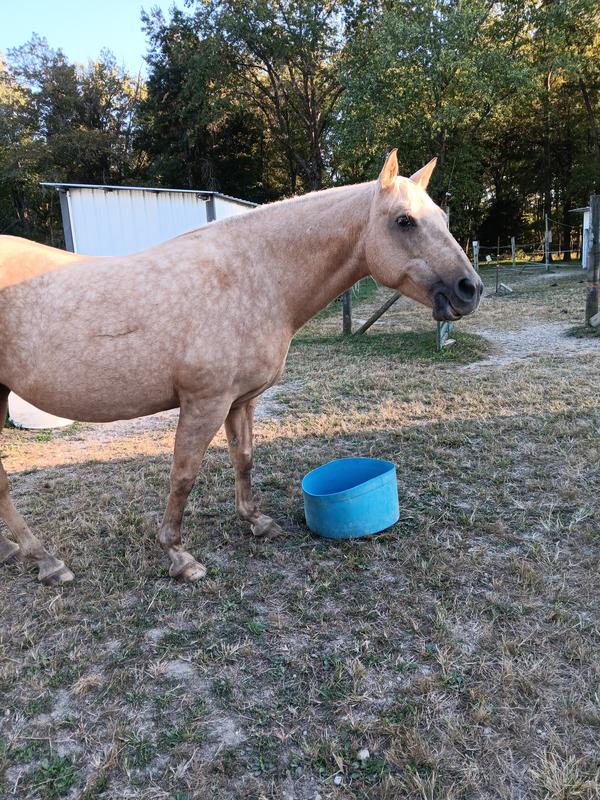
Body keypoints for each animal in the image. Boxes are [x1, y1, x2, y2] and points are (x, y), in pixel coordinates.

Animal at [0, 150, 482, 586]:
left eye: (442, 218)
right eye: (404, 221)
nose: (470, 289)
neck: (253, 276)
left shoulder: (240, 401)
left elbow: (244, 458)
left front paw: (256, 521)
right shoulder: (204, 403)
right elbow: (183, 476)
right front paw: (179, 556)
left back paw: (16, 551)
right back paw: (47, 561)